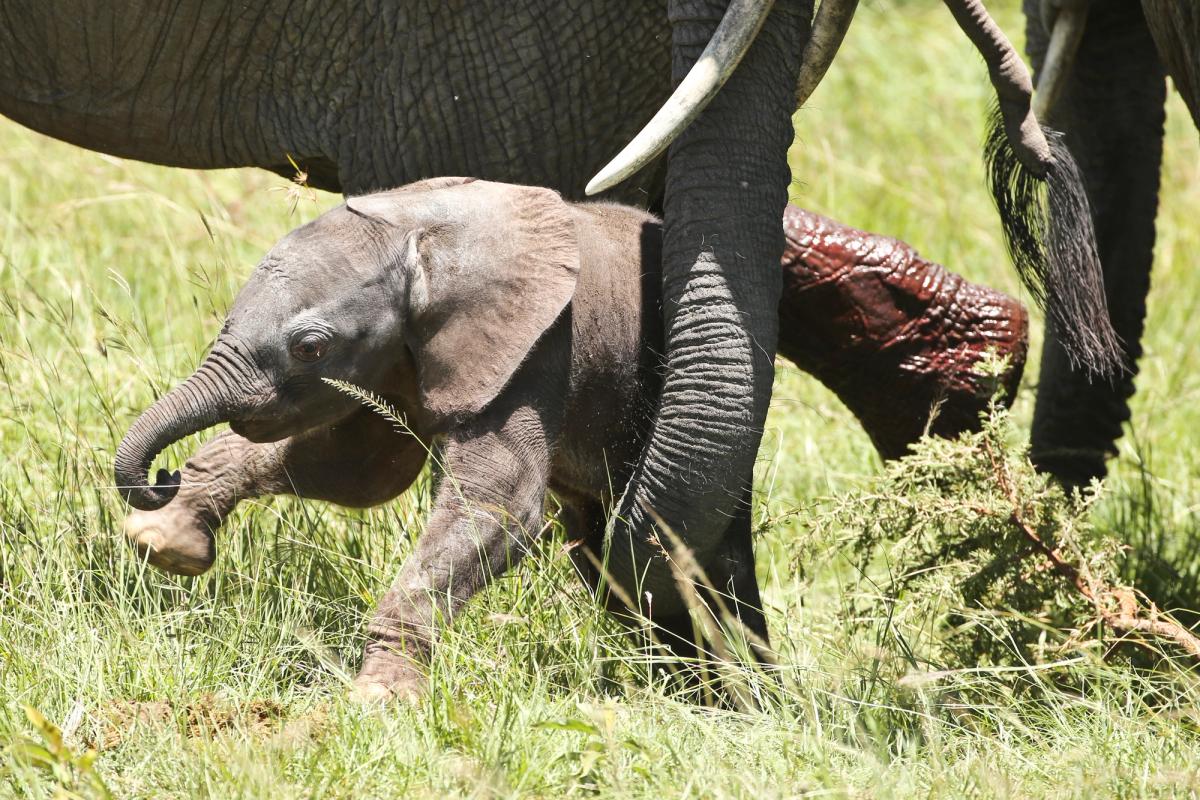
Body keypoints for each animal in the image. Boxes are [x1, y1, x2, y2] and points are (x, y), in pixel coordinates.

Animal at [114, 179, 1028, 698]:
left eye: (309, 346)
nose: (156, 478)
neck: (418, 230)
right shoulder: (409, 352)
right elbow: (357, 469)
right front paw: (168, 540)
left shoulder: (537, 347)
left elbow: (495, 508)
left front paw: (377, 703)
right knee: (607, 553)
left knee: (695, 548)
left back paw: (737, 700)